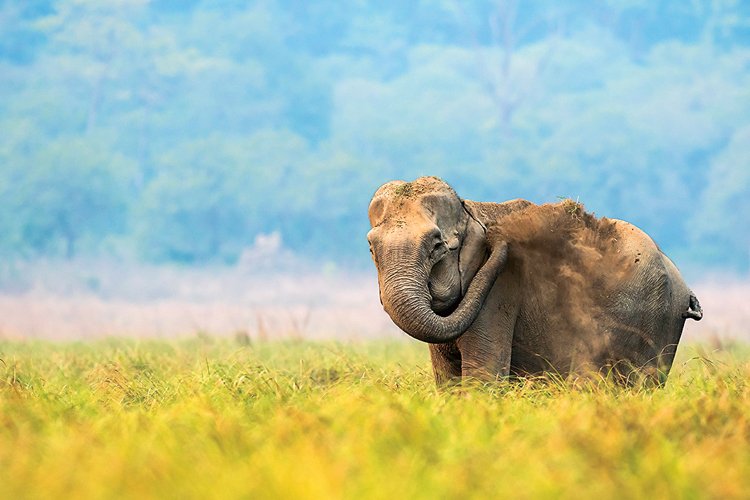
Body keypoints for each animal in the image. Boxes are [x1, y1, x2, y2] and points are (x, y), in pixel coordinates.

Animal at [370, 178, 704, 384]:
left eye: (437, 246)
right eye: (371, 247)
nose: (502, 240)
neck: (470, 208)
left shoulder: (500, 291)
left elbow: (484, 377)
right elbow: (447, 380)